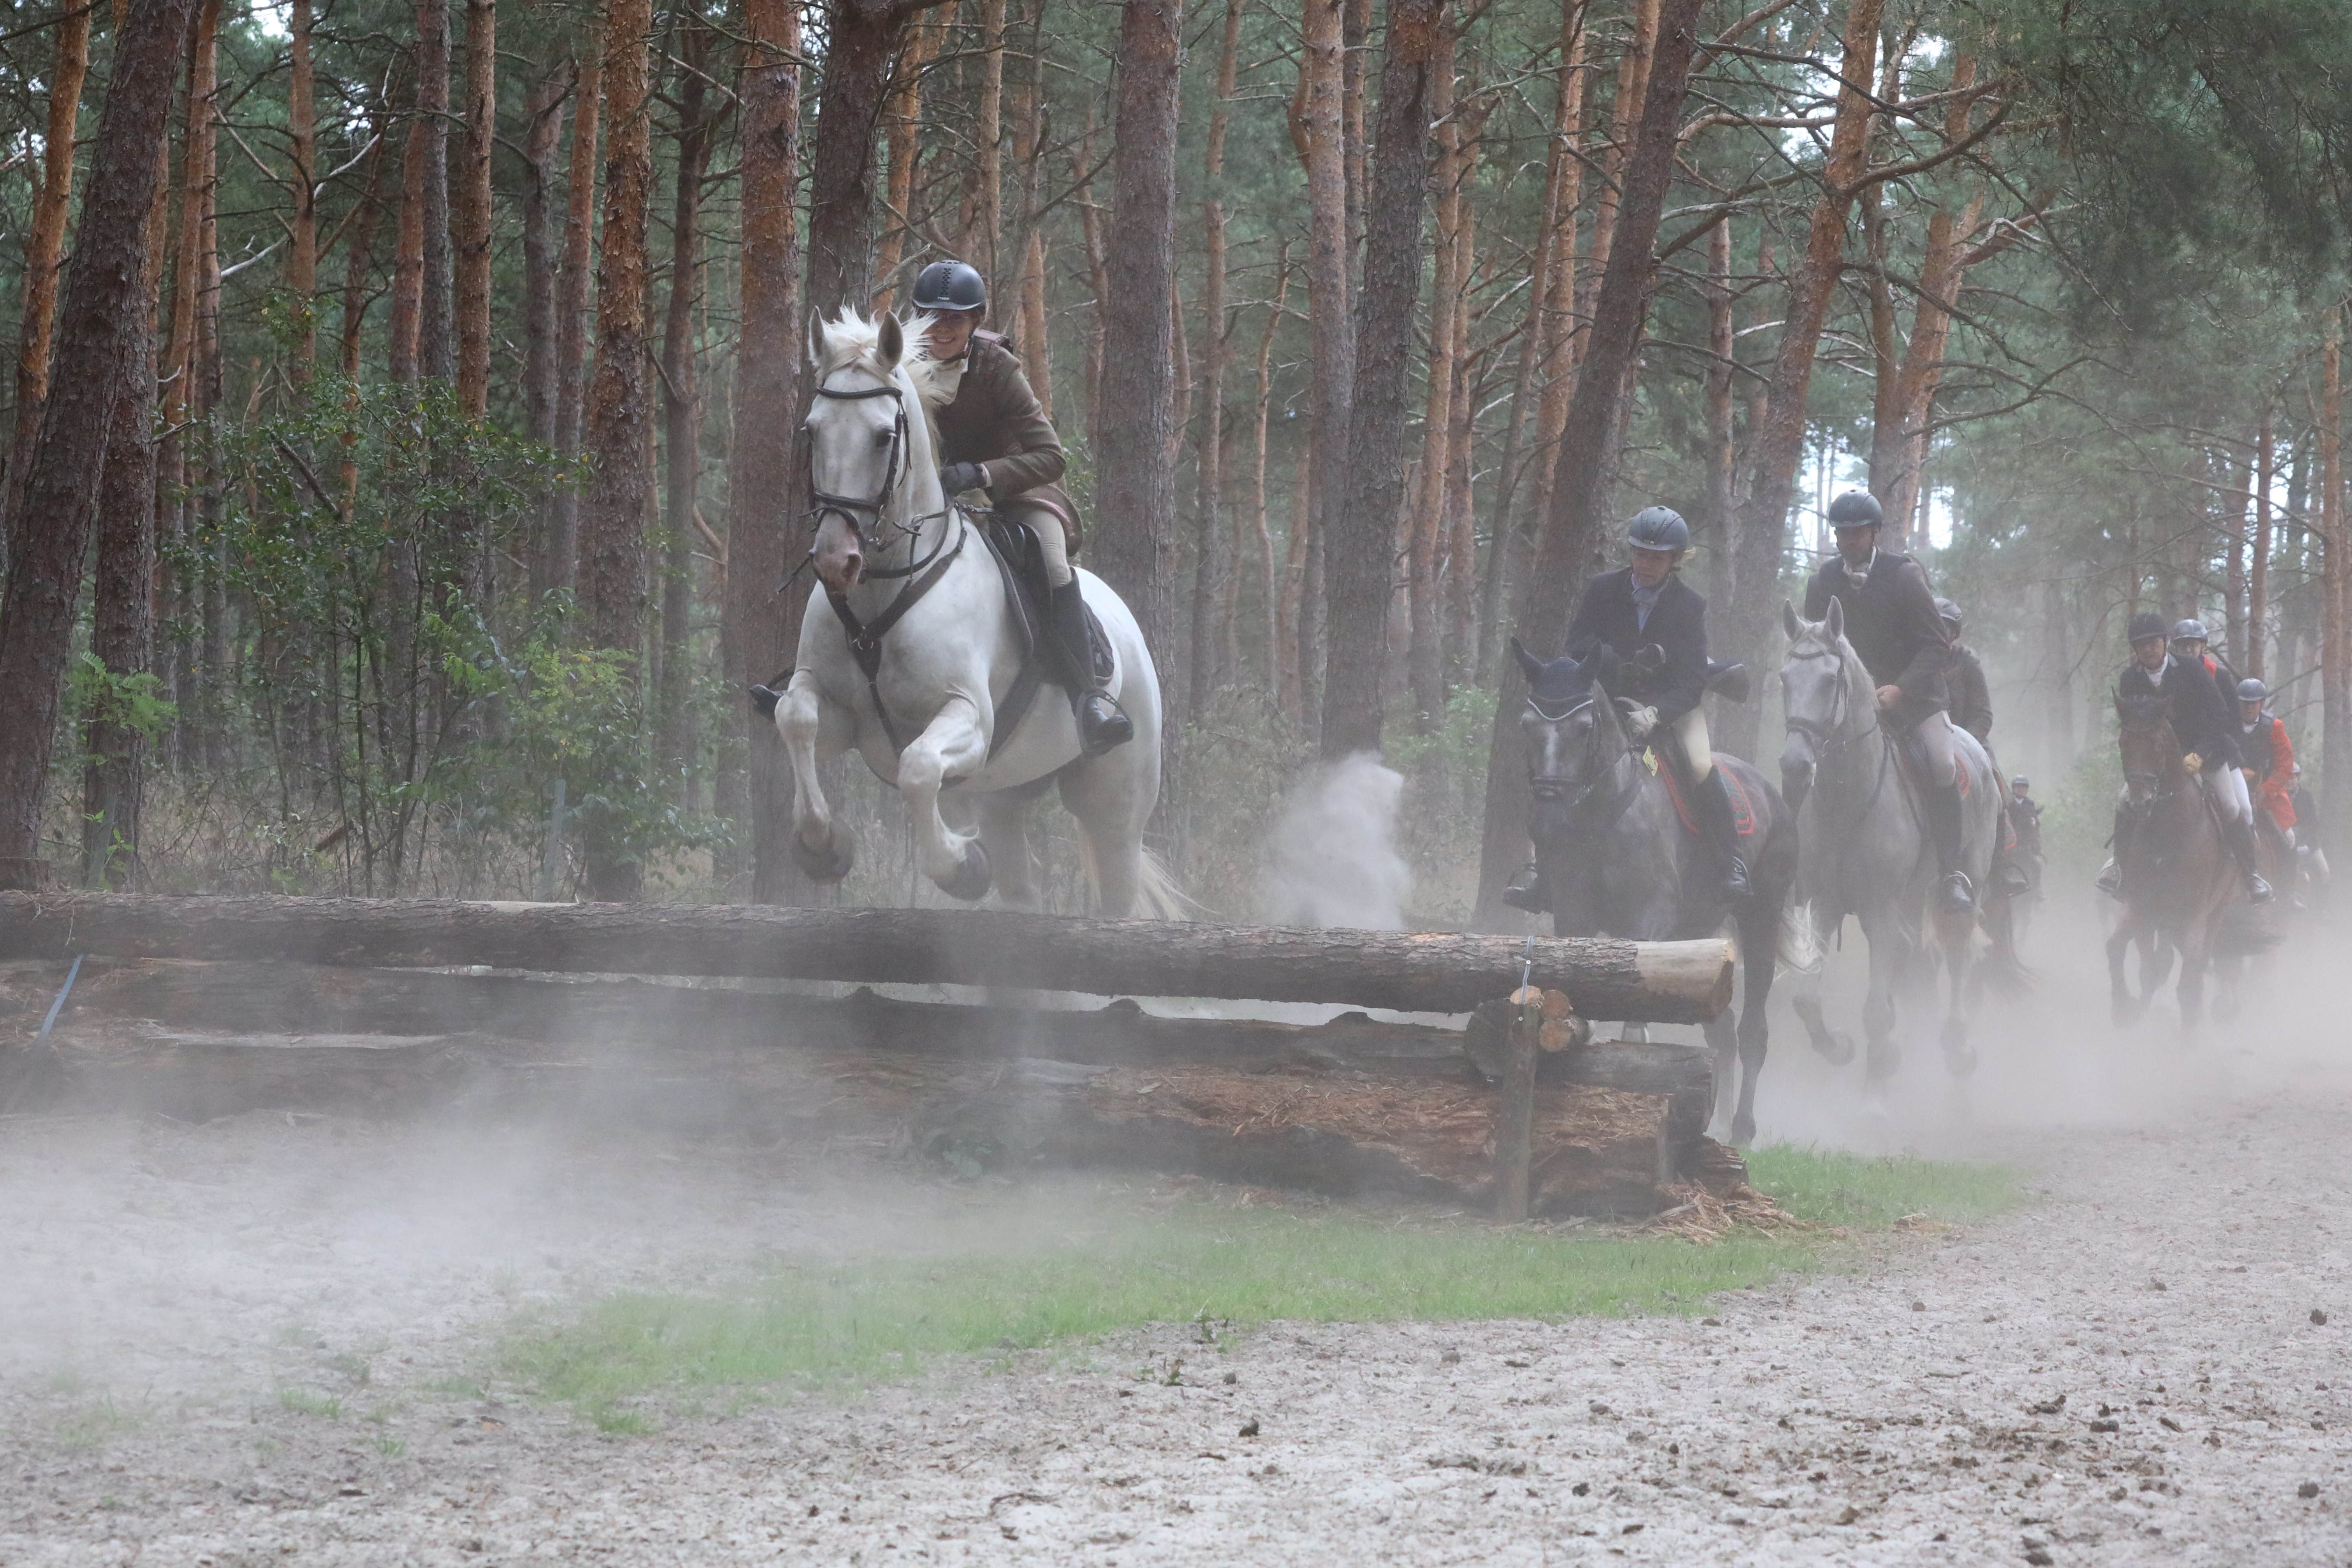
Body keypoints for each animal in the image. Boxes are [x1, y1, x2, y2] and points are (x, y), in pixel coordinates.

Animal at [768, 309, 1173, 916]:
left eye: (884, 436)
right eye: (812, 431)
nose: (836, 561)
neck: (883, 593)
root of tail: (1126, 624)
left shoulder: (969, 719)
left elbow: (918, 769)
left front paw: (961, 868)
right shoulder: (836, 710)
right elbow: (796, 718)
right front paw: (824, 848)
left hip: (1115, 798)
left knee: (1116, 878)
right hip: (1003, 791)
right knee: (1020, 883)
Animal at [1509, 638, 1807, 1146]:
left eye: (1584, 727)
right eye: (1528, 725)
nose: (1546, 822)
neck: (1602, 813)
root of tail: (1772, 793)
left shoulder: (1650, 920)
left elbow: (1635, 1026)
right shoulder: (1574, 917)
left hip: (1760, 917)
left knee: (1752, 1031)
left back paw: (1742, 1128)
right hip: (1699, 928)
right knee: (1722, 1033)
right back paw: (1717, 1120)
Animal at [1776, 601, 2017, 1096]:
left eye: (1829, 681)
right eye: (1784, 678)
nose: (1794, 765)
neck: (1844, 802)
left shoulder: (1880, 907)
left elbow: (1875, 1011)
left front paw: (1877, 1082)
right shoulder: (1823, 903)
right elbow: (1806, 999)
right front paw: (1842, 1048)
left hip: (1964, 885)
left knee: (1958, 953)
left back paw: (1957, 1046)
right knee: (1912, 954)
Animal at [2106, 695, 2250, 1031]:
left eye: (2158, 745)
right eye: (2123, 742)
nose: (2140, 803)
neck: (2168, 830)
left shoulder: (2193, 914)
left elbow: (2188, 982)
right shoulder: (2141, 907)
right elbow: (2143, 967)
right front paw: (2128, 1013)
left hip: (2214, 912)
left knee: (2199, 964)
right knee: (2135, 955)